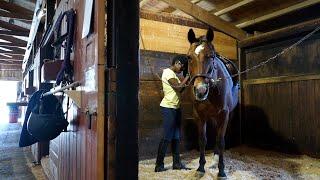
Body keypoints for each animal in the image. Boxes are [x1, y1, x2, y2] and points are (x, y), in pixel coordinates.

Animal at [184, 28, 239, 178]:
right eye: (189, 57)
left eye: (211, 56)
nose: (200, 90)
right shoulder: (199, 115)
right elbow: (202, 140)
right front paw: (200, 168)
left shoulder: (224, 114)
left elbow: (221, 141)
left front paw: (222, 171)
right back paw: (214, 159)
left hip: (228, 114)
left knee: (220, 137)